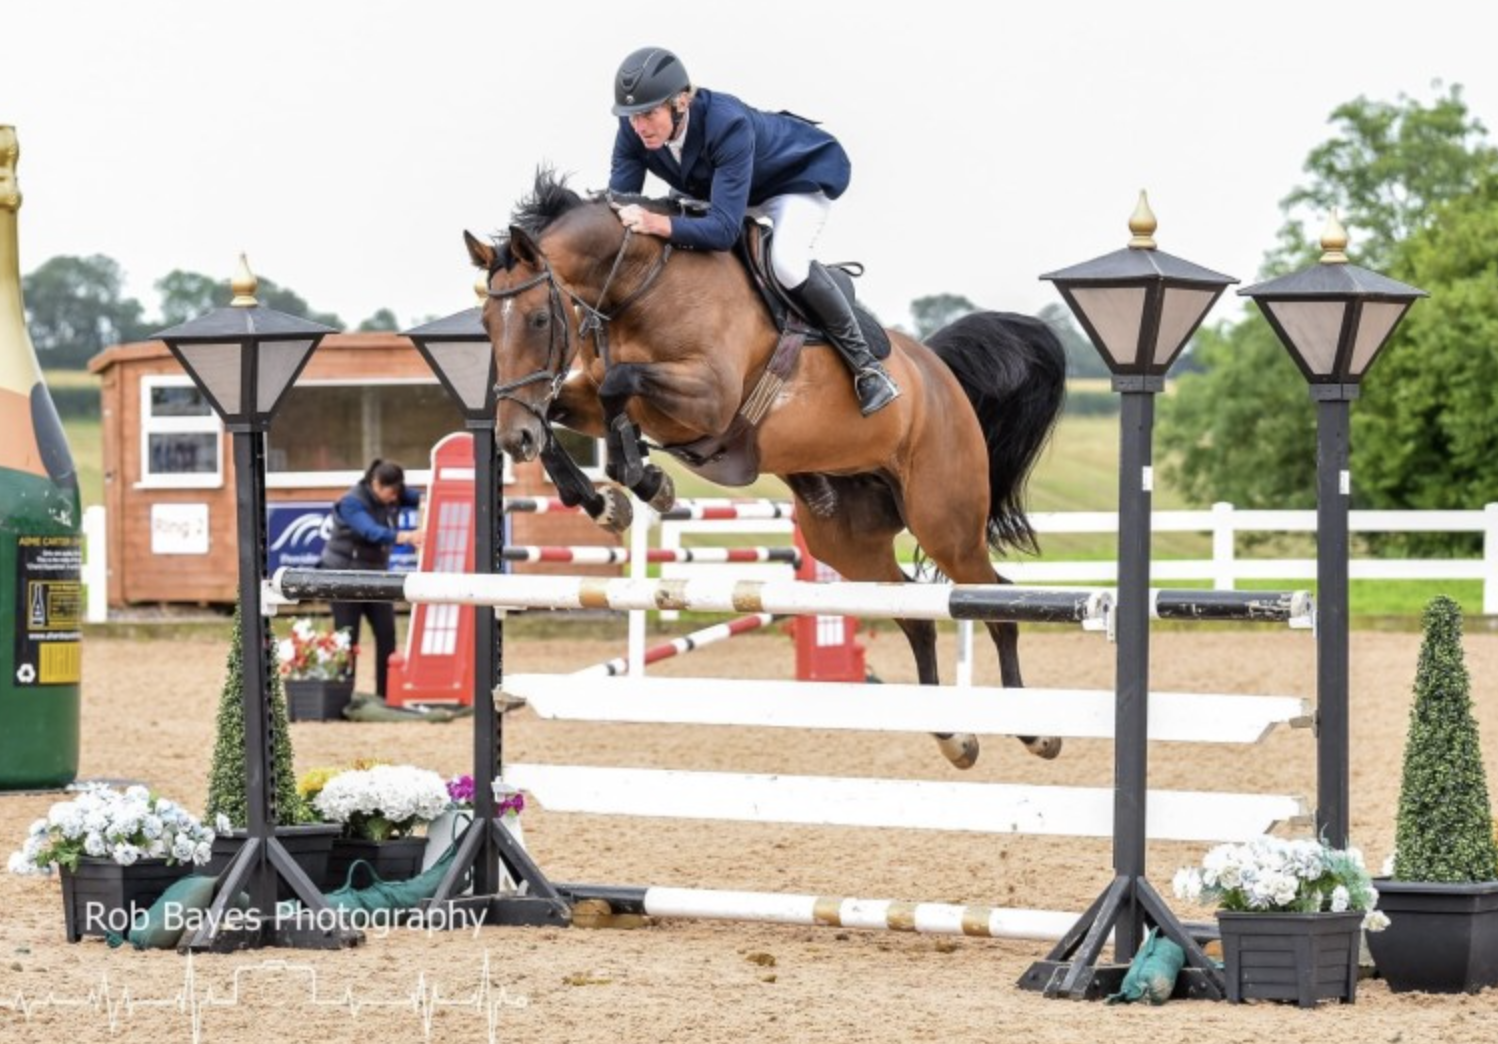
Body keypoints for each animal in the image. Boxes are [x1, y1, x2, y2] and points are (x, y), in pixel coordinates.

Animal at [465, 171, 1067, 768]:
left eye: (540, 318)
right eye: (486, 324)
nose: (511, 440)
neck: (640, 286)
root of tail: (939, 372)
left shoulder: (709, 399)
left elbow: (619, 385)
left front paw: (645, 478)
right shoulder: (589, 395)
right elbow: (563, 411)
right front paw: (605, 501)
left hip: (946, 523)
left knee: (995, 599)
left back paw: (1034, 731)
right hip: (847, 543)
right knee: (913, 611)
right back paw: (954, 737)